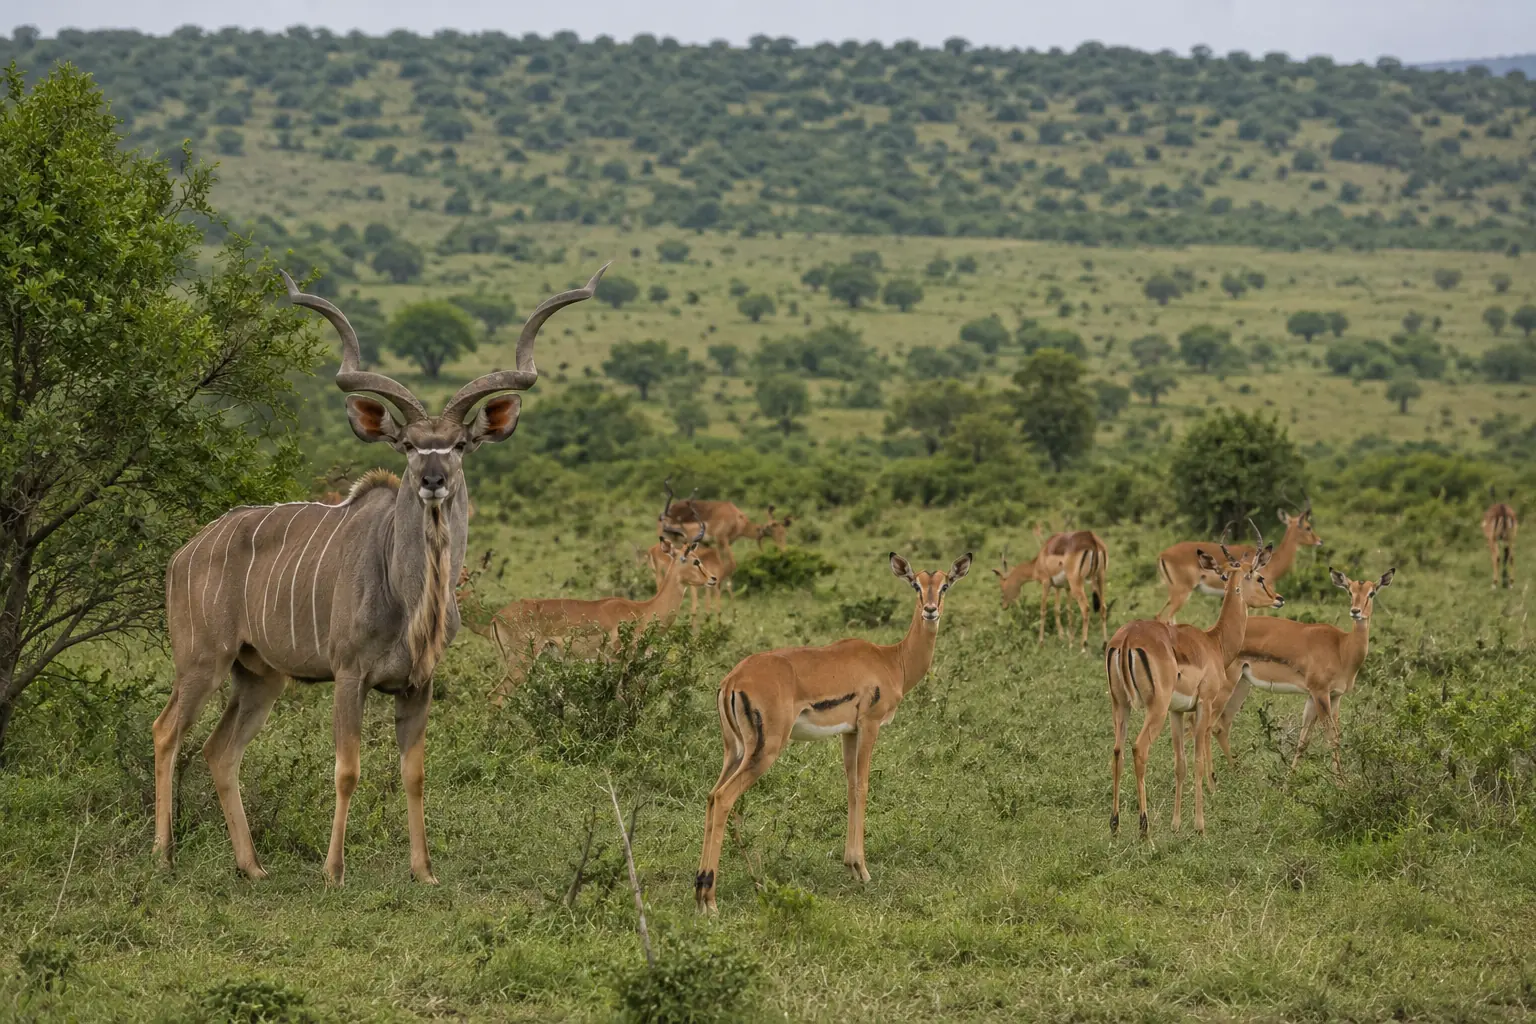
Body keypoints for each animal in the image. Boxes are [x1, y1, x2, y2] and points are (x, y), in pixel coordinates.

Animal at [153, 265, 607, 884]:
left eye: (459, 444)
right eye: (410, 445)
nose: (434, 479)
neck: (407, 594)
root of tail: (183, 554)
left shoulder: (419, 683)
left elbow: (414, 772)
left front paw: (424, 871)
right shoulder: (349, 676)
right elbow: (347, 769)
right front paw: (333, 872)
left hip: (260, 675)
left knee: (220, 751)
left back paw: (253, 867)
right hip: (202, 661)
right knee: (167, 732)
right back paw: (163, 855)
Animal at [481, 523, 716, 702]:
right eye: (695, 560)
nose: (713, 578)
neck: (643, 610)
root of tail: (495, 617)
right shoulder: (618, 660)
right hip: (521, 663)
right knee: (495, 697)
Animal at [695, 551, 972, 912]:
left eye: (945, 585)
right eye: (915, 584)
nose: (930, 610)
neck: (892, 660)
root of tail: (732, 680)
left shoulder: (848, 732)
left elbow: (851, 787)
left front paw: (851, 866)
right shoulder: (870, 725)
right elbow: (863, 786)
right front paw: (862, 869)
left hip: (735, 751)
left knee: (711, 796)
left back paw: (704, 888)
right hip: (765, 750)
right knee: (725, 798)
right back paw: (710, 901)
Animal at [1107, 533, 1279, 838]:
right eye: (1259, 577)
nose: (1278, 598)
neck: (1214, 642)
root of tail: (1127, 638)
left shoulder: (1177, 712)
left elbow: (1181, 764)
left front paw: (1176, 824)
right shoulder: (1204, 705)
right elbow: (1198, 762)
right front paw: (1200, 825)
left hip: (1121, 704)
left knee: (1117, 750)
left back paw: (1115, 825)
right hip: (1155, 709)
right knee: (1139, 749)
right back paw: (1144, 829)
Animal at [1212, 567, 1395, 776]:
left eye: (1372, 593)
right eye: (1350, 591)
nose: (1355, 611)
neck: (1342, 647)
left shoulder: (1329, 696)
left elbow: (1305, 740)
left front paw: (1289, 780)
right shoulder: (1320, 693)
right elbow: (1330, 738)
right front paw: (1341, 781)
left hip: (1241, 685)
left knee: (1222, 726)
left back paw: (1236, 772)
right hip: (1225, 687)